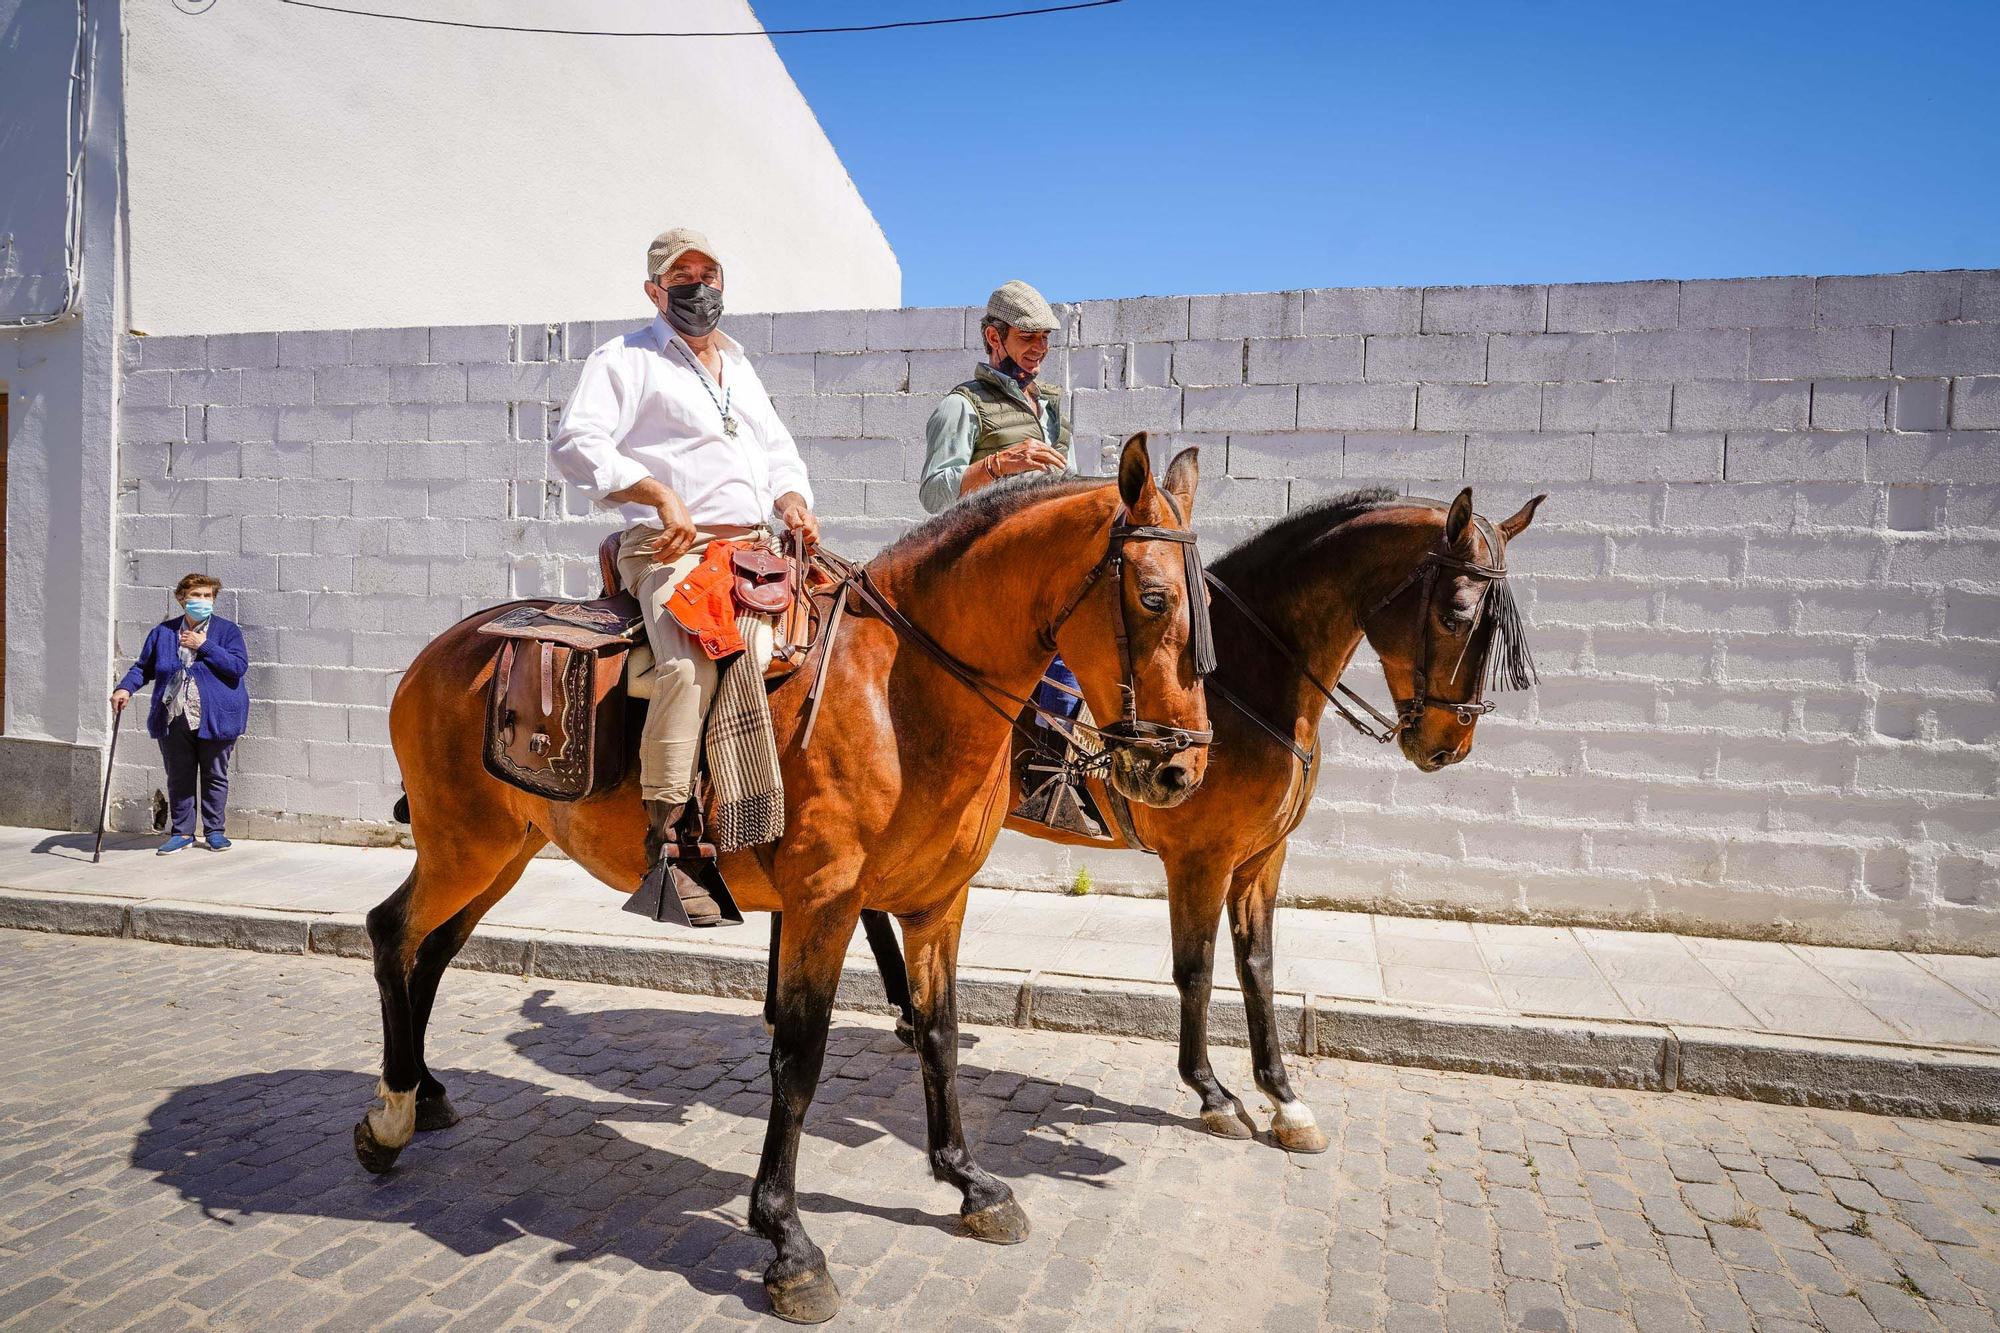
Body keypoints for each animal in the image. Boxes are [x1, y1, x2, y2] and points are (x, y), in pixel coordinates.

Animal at [352, 434, 1208, 1320]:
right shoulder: (822, 904)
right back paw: (390, 1114)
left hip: (502, 850)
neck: (900, 692)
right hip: (463, 846)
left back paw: (425, 1090)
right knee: (391, 933)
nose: (1180, 769)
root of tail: (437, 653)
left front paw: (970, 1181)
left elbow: (938, 1034)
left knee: (432, 949)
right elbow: (798, 1061)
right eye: (1152, 597)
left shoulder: (938, 903)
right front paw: (788, 1242)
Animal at [812, 488, 1544, 1152]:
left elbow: (1258, 965)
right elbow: (1196, 968)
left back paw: (910, 1013)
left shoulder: (1262, 857)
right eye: (1456, 614)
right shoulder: (1201, 859)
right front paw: (1213, 1092)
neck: (1249, 677)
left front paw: (1283, 1096)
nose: (1449, 744)